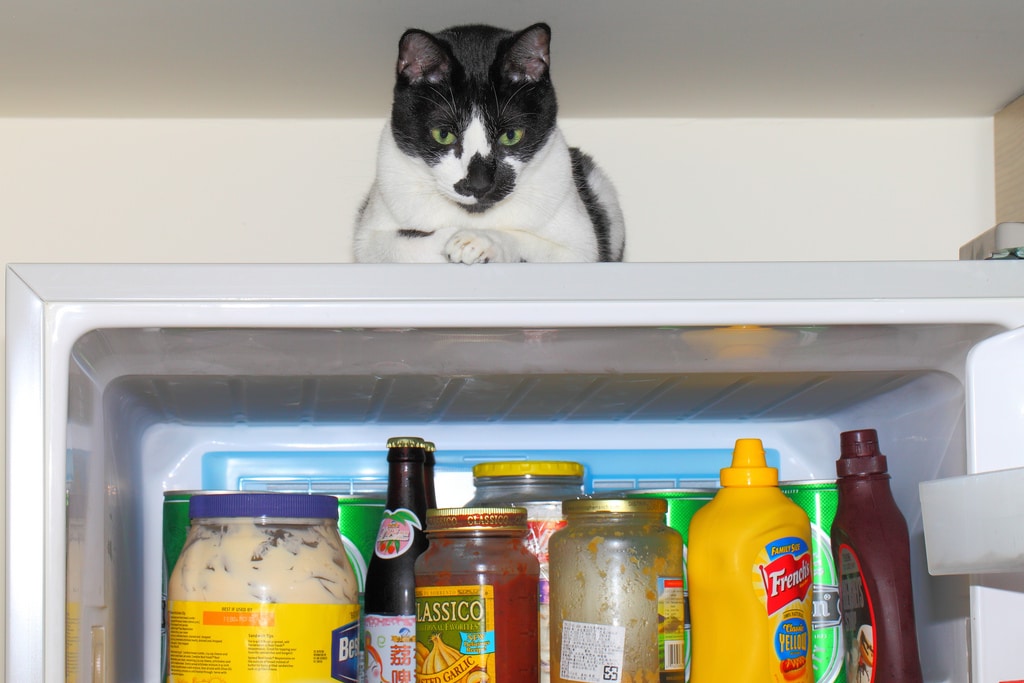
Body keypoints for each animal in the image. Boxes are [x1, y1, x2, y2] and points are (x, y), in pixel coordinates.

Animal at [352, 22, 622, 264]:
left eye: (511, 135)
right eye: (443, 134)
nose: (479, 184)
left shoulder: (582, 248)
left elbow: (538, 243)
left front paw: (478, 241)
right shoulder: (368, 239)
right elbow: (397, 243)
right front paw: (452, 238)